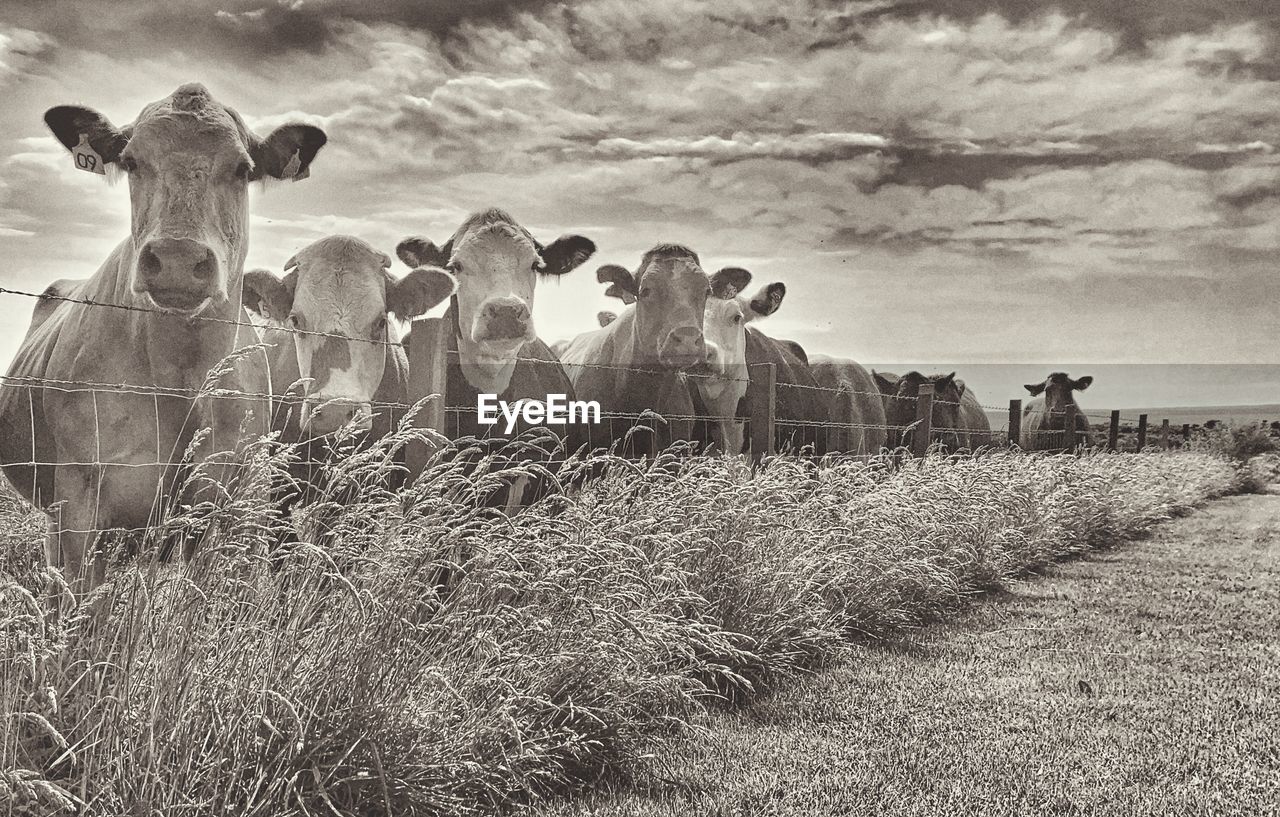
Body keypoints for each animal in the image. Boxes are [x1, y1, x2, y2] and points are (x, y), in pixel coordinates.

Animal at [0, 83, 327, 589]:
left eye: (243, 168)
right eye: (132, 161)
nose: (177, 257)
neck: (180, 375)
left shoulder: (235, 497)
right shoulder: (79, 498)